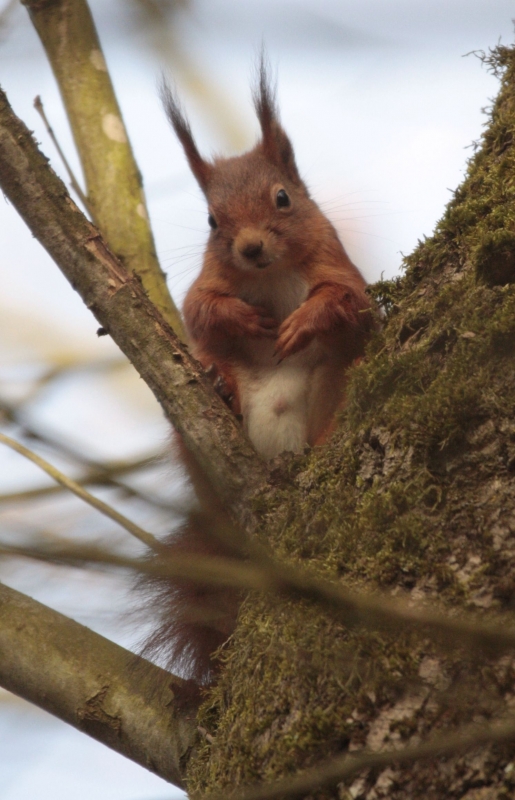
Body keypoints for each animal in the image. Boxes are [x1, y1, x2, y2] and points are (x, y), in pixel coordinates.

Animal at [141, 62, 374, 684]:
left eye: (283, 198)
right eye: (211, 220)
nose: (248, 248)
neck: (270, 276)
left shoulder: (341, 270)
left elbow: (349, 303)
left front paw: (302, 323)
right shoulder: (206, 282)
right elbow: (201, 309)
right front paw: (242, 318)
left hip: (332, 387)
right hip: (191, 437)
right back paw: (221, 389)